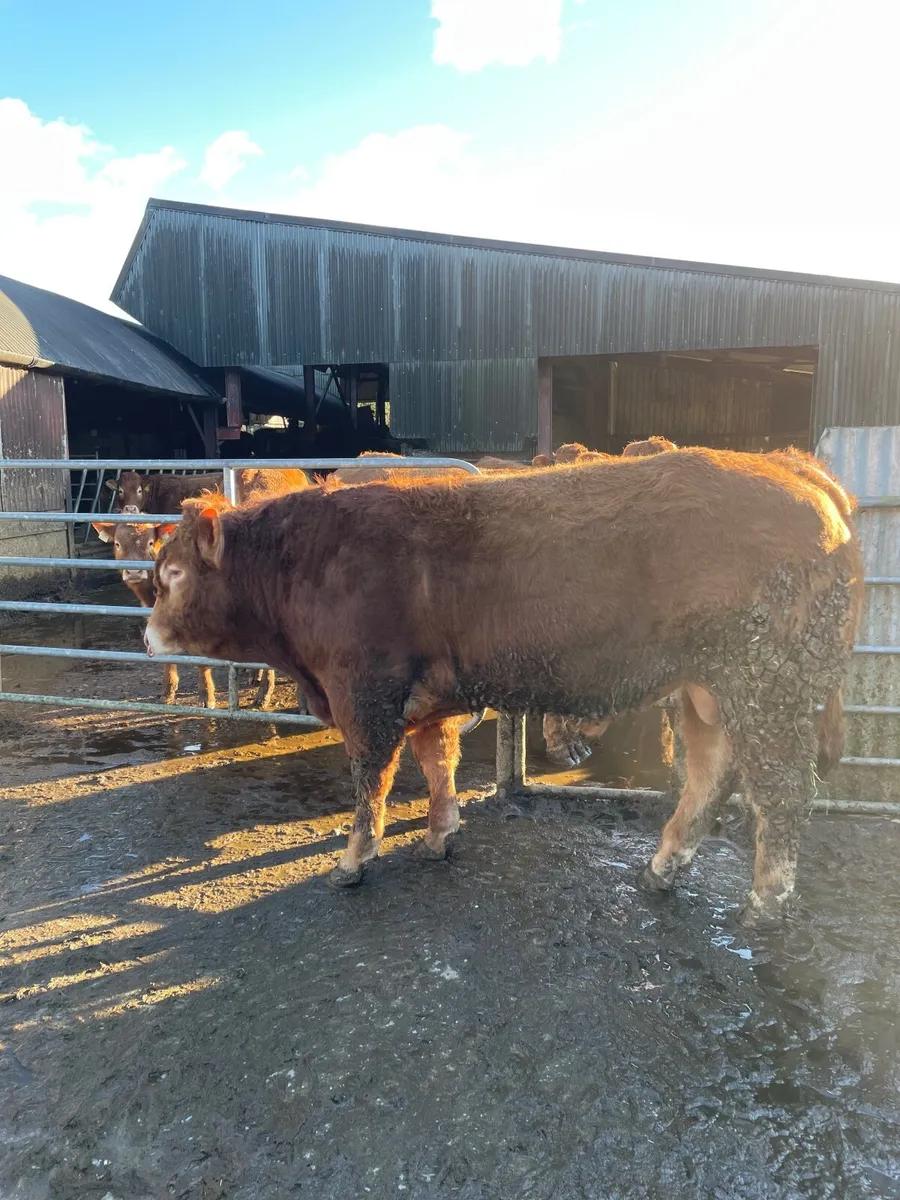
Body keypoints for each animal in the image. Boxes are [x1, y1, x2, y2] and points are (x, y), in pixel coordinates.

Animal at [144, 448, 862, 926]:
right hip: (706, 690)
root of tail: (795, 468)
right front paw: (440, 834)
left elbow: (371, 784)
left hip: (766, 686)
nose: (146, 636)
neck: (306, 562)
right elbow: (437, 763)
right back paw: (663, 867)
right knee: (711, 777)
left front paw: (353, 860)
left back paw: (765, 903)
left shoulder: (364, 696)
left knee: (781, 793)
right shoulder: (424, 702)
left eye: (172, 574)